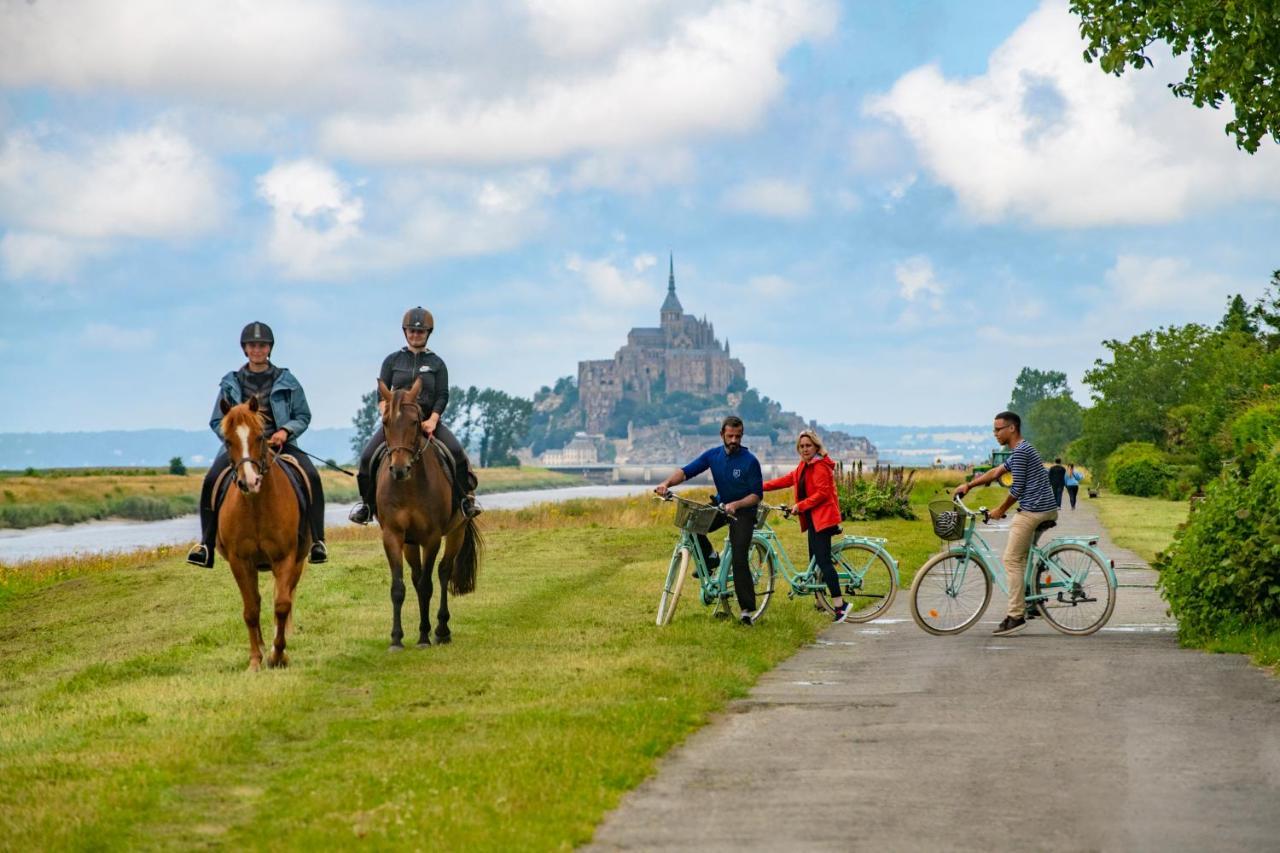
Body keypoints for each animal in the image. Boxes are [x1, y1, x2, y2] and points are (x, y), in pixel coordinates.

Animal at [217, 394, 309, 666]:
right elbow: (250, 610)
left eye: (260, 436)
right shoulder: (239, 561)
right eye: (227, 441)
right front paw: (255, 660)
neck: (256, 507)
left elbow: (282, 604)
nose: (250, 482)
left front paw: (278, 655)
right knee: (256, 602)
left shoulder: (285, 558)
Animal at [378, 376, 483, 648]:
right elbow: (399, 587)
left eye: (415, 422)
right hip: (410, 542)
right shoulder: (393, 535)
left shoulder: (432, 537)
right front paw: (396, 639)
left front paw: (424, 636)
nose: (400, 469)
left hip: (456, 531)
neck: (409, 486)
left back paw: (442, 630)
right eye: (385, 422)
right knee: (416, 577)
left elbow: (428, 585)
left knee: (444, 572)